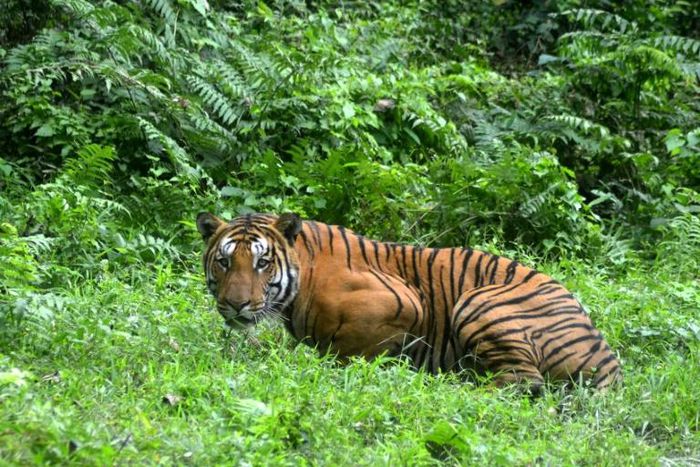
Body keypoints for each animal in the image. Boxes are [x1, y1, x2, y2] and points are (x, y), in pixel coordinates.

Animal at [196, 211, 622, 391]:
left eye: (262, 262)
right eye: (224, 261)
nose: (235, 304)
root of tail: (607, 357)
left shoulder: (404, 302)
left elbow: (348, 351)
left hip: (478, 301)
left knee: (523, 382)